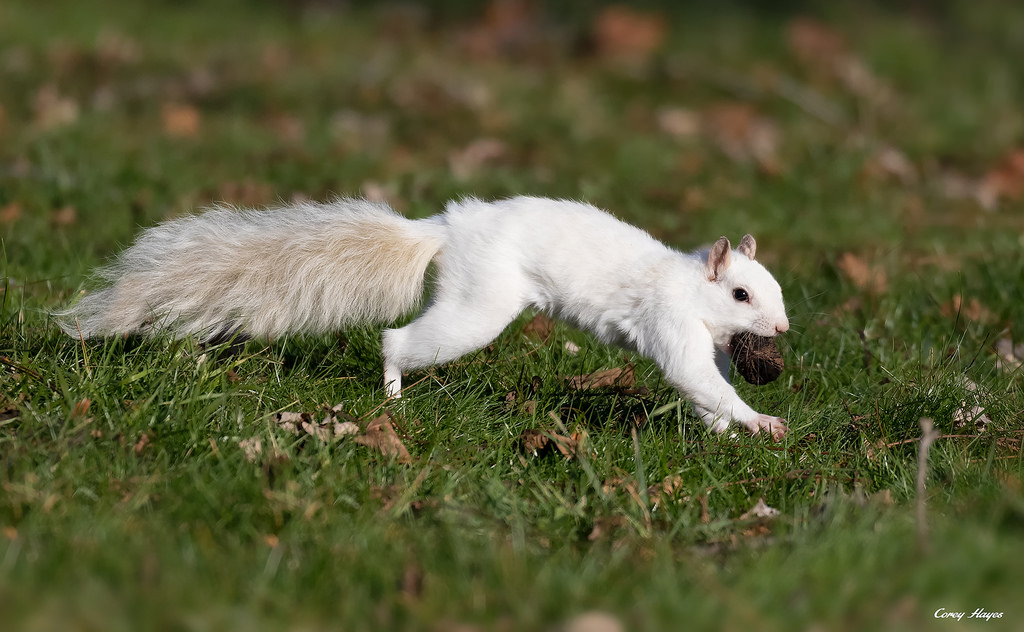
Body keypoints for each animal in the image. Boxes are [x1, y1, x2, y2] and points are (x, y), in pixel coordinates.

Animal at [58, 196, 790, 438]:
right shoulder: (671, 324)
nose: (782, 332)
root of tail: (446, 228)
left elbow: (705, 389)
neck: (690, 288)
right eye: (742, 295)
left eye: (776, 289)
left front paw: (724, 433)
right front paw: (763, 424)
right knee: (398, 340)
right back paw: (390, 391)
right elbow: (696, 378)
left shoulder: (705, 345)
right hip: (479, 307)